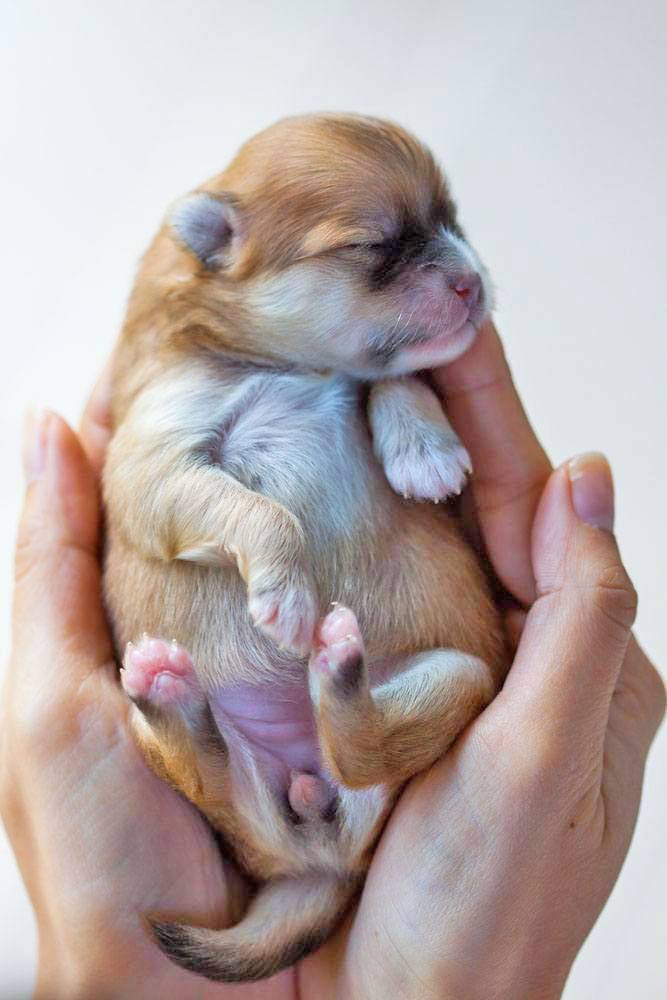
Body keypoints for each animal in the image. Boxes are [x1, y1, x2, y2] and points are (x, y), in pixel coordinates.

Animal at [104, 113, 508, 980]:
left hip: (455, 681)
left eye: (452, 223)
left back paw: (334, 668)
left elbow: (390, 375)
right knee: (212, 774)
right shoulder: (151, 462)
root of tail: (321, 845)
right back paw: (175, 692)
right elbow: (260, 513)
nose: (473, 282)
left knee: (363, 749)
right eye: (371, 244)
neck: (282, 363)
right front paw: (285, 597)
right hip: (209, 776)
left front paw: (423, 450)